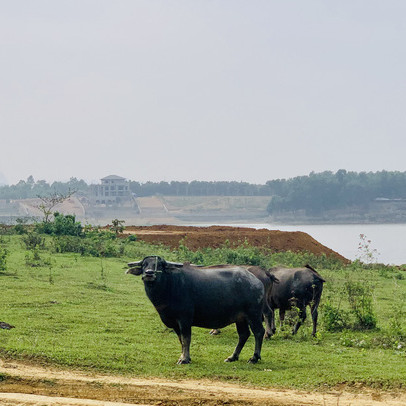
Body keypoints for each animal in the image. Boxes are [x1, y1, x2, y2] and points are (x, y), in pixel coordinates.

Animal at [127, 256, 266, 364]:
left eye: (160, 265)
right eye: (144, 265)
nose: (149, 273)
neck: (169, 286)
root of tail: (257, 281)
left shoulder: (185, 319)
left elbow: (186, 338)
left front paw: (185, 359)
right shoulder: (174, 322)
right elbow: (181, 340)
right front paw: (183, 356)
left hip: (253, 314)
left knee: (259, 332)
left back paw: (254, 358)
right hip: (240, 318)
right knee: (243, 334)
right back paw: (232, 357)